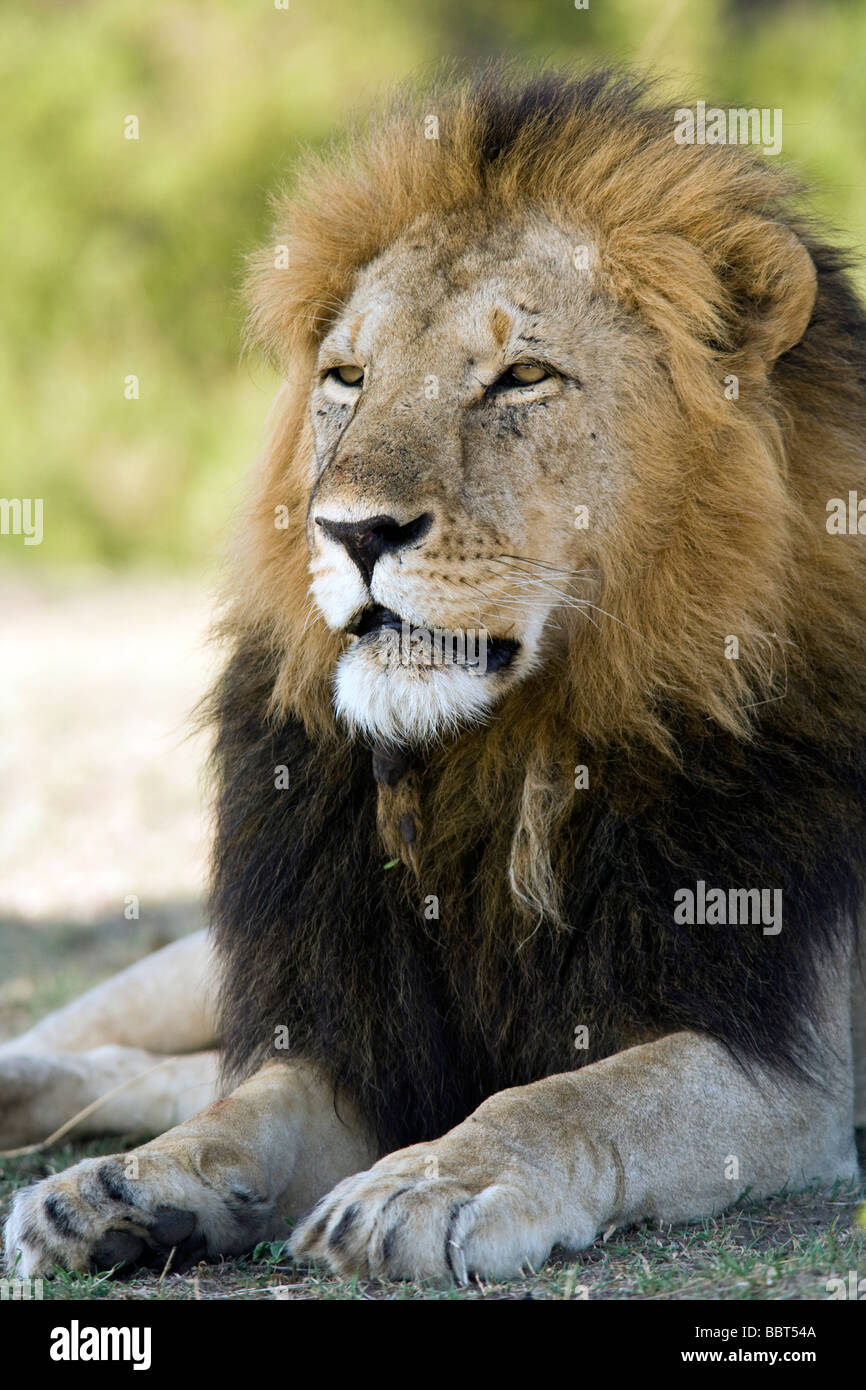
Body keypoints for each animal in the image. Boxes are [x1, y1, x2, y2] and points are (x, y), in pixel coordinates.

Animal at [5, 65, 866, 1278]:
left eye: (521, 376)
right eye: (347, 377)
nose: (353, 529)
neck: (503, 756)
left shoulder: (788, 1063)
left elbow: (566, 1099)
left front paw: (422, 1186)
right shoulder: (353, 1025)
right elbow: (243, 1108)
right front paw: (130, 1189)